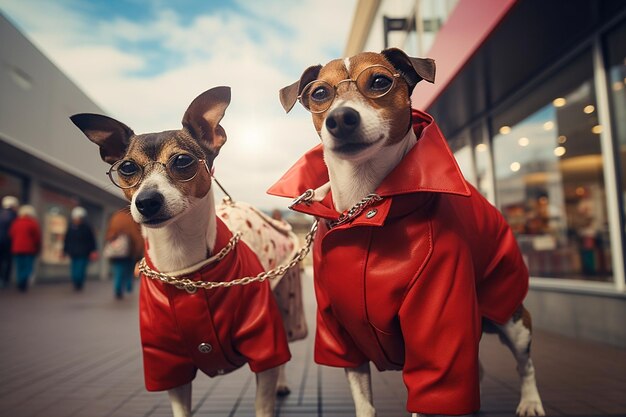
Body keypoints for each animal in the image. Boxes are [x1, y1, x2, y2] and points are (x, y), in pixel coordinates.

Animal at [70, 86, 300, 414]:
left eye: (181, 161)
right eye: (127, 167)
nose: (147, 201)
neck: (183, 264)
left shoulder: (263, 336)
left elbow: (265, 394)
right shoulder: (165, 359)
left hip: (283, 301)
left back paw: (282, 383)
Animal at [270, 47, 544, 414]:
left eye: (380, 81)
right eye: (320, 93)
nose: (340, 119)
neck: (363, 204)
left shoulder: (437, 327)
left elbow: (433, 387)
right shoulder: (342, 335)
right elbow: (365, 403)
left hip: (511, 316)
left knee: (524, 363)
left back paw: (530, 401)